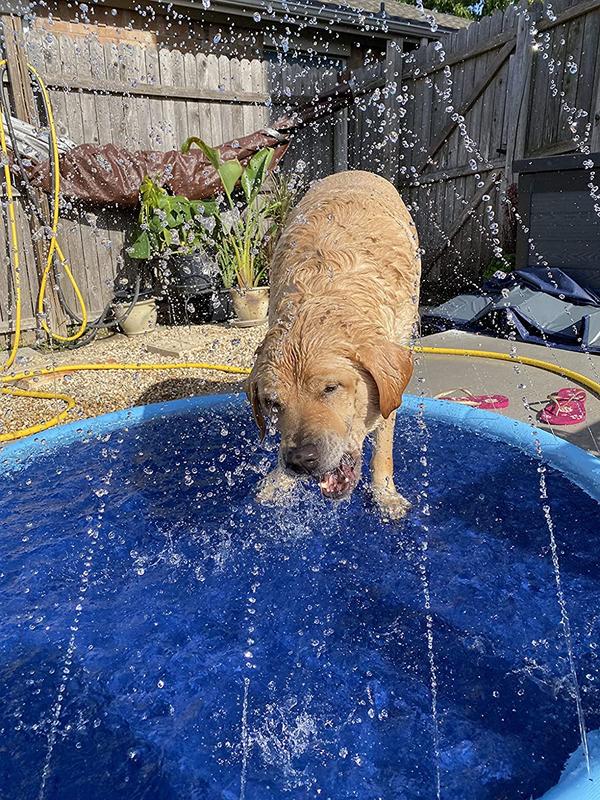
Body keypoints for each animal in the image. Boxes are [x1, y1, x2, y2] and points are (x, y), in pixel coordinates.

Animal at [246, 169, 420, 520]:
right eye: (273, 403)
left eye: (330, 388)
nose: (300, 460)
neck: (326, 287)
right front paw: (278, 481)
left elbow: (384, 444)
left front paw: (385, 494)